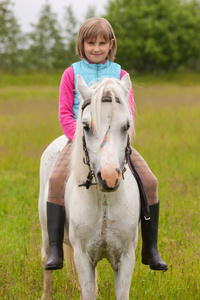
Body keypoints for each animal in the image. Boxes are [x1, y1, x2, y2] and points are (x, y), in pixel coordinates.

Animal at [38, 74, 140, 300]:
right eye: (86, 126)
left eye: (126, 125)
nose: (109, 178)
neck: (105, 202)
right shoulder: (82, 257)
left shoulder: (126, 258)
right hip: (47, 234)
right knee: (46, 262)